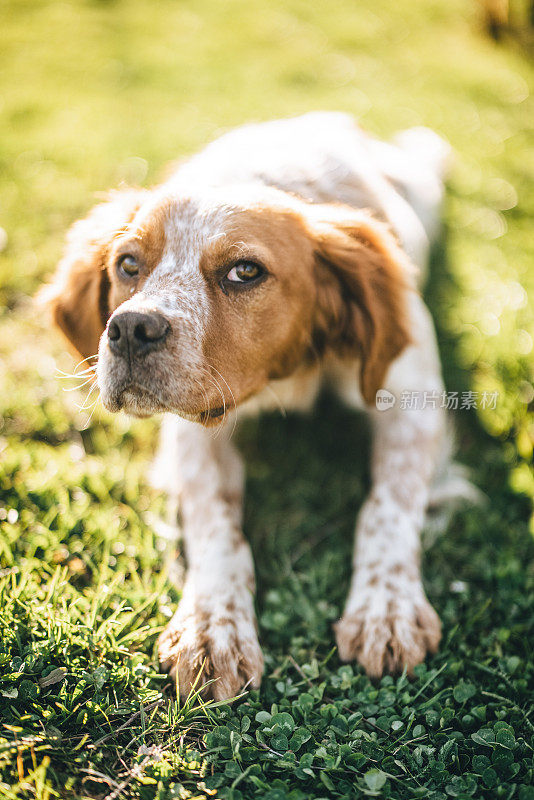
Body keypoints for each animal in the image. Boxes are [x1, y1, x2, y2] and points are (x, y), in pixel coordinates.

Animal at [44, 111, 458, 700]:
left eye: (245, 271)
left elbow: (387, 504)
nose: (129, 329)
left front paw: (387, 608)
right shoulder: (196, 428)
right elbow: (216, 521)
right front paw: (211, 627)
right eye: (126, 264)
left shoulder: (412, 398)